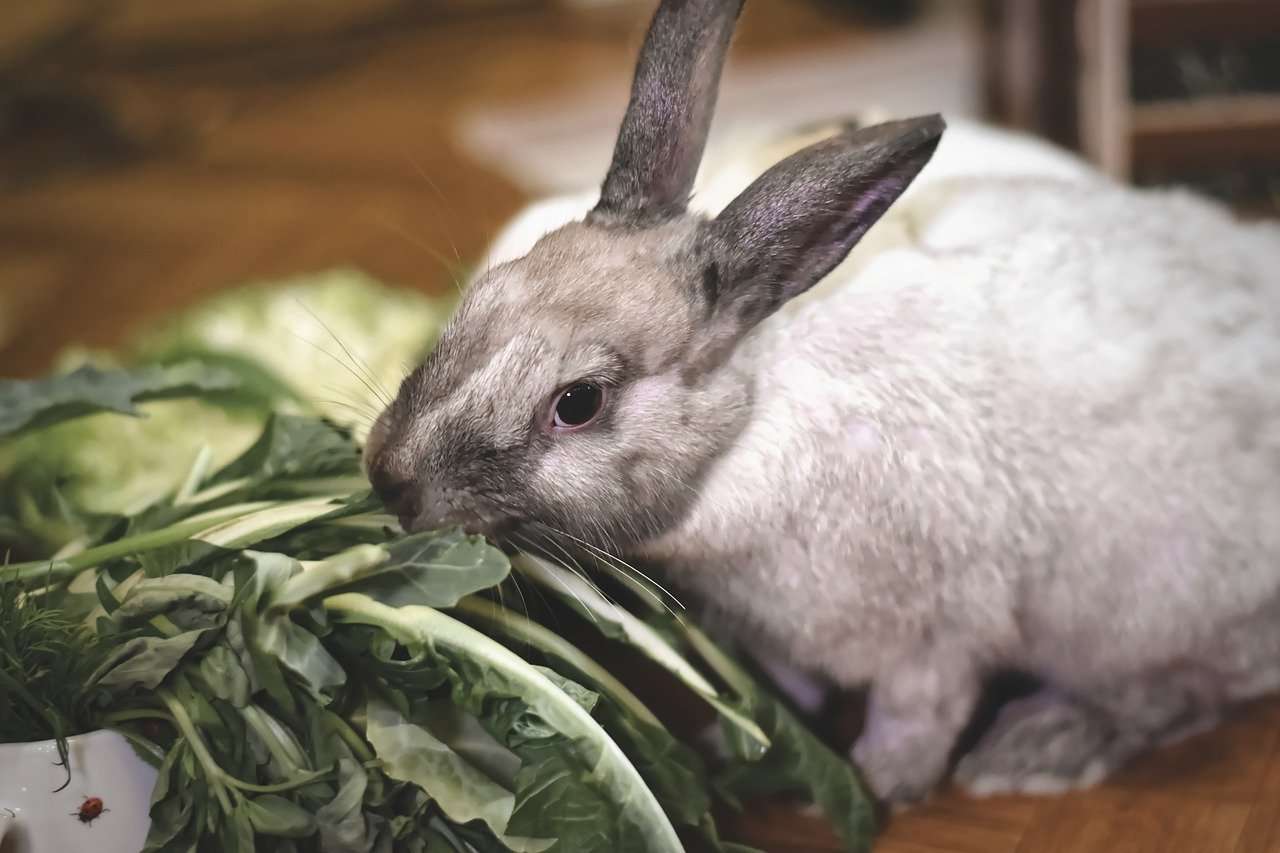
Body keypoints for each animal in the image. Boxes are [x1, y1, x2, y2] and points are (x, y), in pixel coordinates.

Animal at [365, 0, 1280, 808]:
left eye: (580, 401)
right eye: (484, 291)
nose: (389, 476)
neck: (745, 427)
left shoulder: (939, 635)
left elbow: (919, 714)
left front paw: (882, 783)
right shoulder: (773, 636)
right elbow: (789, 688)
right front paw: (744, 742)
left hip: (1141, 614)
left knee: (1178, 692)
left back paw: (1039, 746)